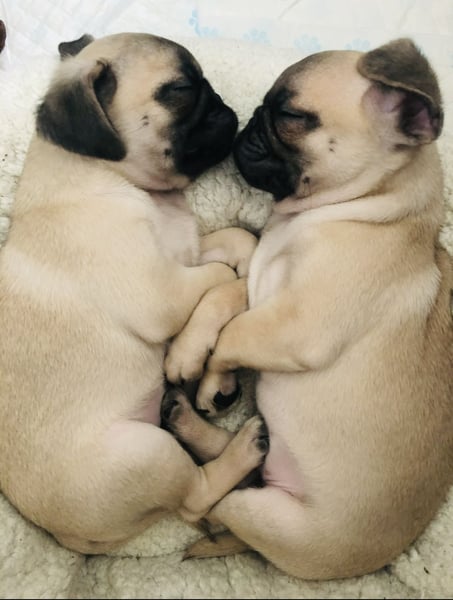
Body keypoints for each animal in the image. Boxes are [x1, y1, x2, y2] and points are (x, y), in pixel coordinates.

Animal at [0, 32, 269, 554]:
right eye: (180, 90)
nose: (225, 107)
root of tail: (68, 536)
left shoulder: (186, 251)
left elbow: (236, 244)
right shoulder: (164, 291)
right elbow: (220, 284)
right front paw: (189, 351)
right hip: (146, 454)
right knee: (195, 499)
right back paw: (244, 449)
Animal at [164, 38, 453, 579]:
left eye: (292, 116)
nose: (249, 123)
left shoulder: (294, 326)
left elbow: (234, 334)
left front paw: (211, 377)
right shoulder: (262, 280)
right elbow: (227, 292)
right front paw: (201, 361)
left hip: (266, 515)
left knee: (211, 503)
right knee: (250, 465)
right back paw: (202, 424)